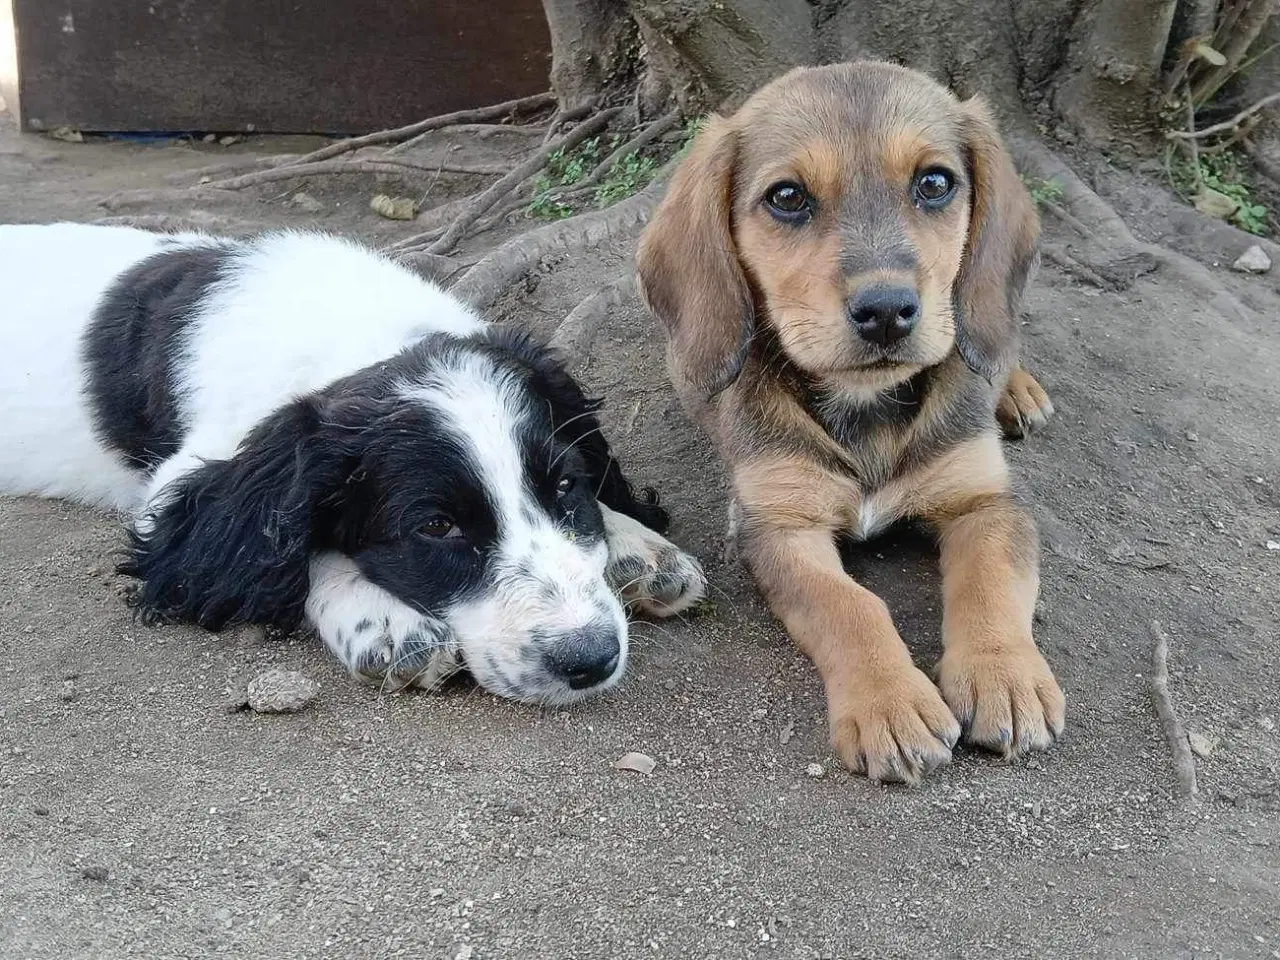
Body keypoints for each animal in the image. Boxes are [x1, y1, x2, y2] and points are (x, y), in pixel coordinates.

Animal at [0, 225, 706, 706]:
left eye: (565, 485)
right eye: (436, 527)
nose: (591, 659)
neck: (365, 332)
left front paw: (635, 544)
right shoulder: (183, 490)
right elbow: (285, 540)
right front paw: (385, 621)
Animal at [634, 60, 1064, 783]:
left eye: (935, 183)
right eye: (786, 197)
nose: (887, 311)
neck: (866, 411)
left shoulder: (985, 501)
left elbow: (991, 579)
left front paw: (1003, 675)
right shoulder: (777, 525)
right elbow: (850, 607)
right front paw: (891, 702)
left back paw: (1016, 389)